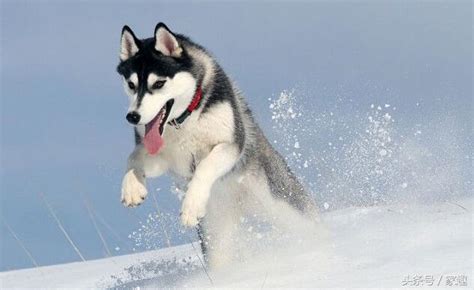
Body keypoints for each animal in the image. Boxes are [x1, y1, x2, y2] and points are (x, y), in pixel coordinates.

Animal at [116, 22, 320, 268]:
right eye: (131, 84)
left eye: (159, 83)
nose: (133, 117)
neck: (185, 121)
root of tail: (239, 207)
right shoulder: (166, 158)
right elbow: (133, 157)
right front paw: (132, 189)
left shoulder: (230, 145)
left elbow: (206, 166)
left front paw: (191, 206)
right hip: (217, 237)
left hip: (284, 204)